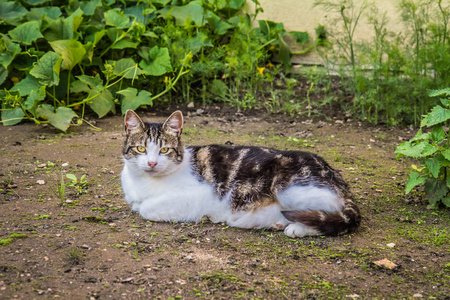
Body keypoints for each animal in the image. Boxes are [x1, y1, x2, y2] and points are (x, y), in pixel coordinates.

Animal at [121, 109, 360, 238]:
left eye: (164, 150)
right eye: (141, 149)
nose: (152, 163)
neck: (145, 182)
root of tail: (336, 176)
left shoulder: (200, 194)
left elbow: (146, 208)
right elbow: (138, 205)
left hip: (289, 188)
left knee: (333, 216)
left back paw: (297, 228)